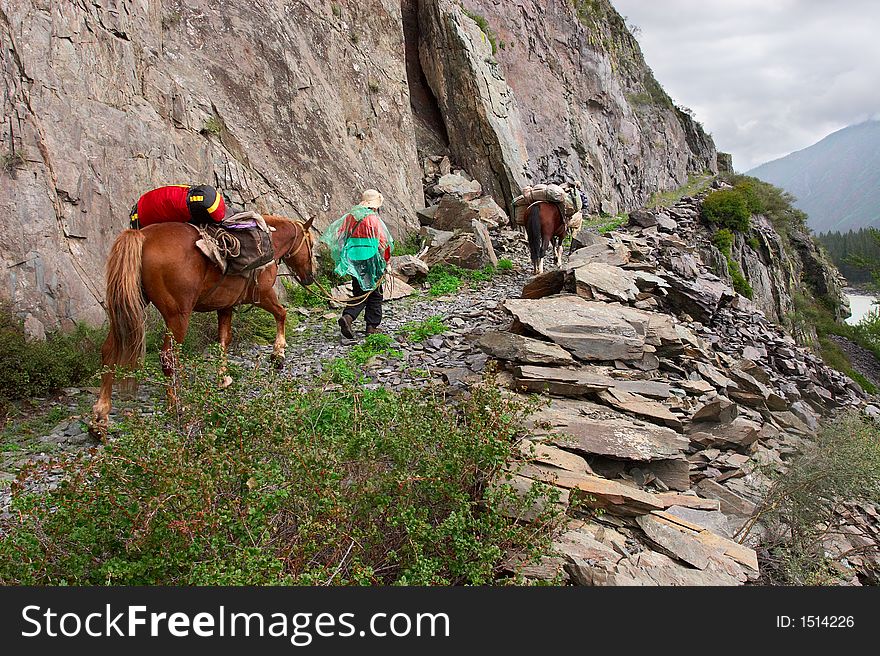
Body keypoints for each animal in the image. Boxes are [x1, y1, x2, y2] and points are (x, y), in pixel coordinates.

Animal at [89, 215, 314, 436]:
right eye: (310, 244)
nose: (310, 277)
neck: (271, 239)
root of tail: (143, 236)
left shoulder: (226, 306)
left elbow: (224, 340)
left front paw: (223, 377)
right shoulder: (263, 295)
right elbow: (281, 314)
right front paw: (278, 354)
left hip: (126, 310)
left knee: (109, 351)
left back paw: (100, 416)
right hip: (178, 316)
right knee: (168, 357)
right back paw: (176, 405)